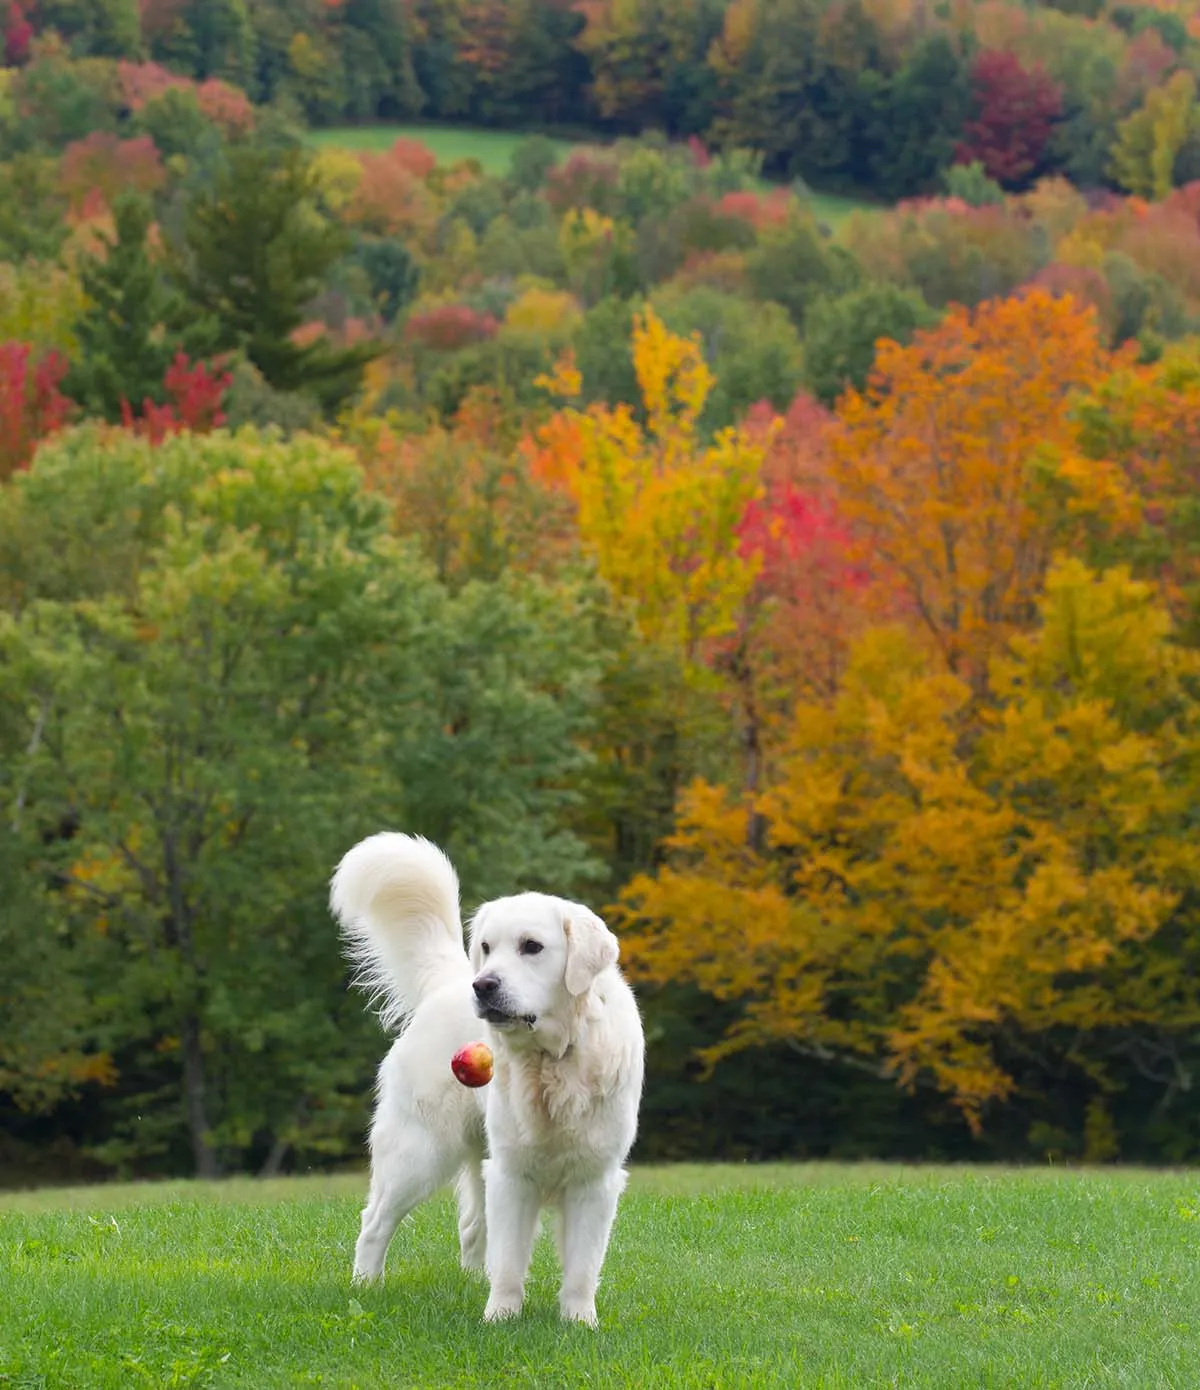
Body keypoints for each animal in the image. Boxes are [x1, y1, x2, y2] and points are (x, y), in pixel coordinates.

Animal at [328, 828, 647, 1328]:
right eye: (487, 947)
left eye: (531, 946)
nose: (483, 985)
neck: (552, 1061)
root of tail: (448, 983)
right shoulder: (512, 1175)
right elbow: (511, 1261)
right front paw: (500, 1317)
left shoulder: (594, 1180)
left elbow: (580, 1268)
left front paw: (579, 1323)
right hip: (419, 1153)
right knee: (374, 1222)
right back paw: (365, 1287)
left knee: (471, 1226)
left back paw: (469, 1281)